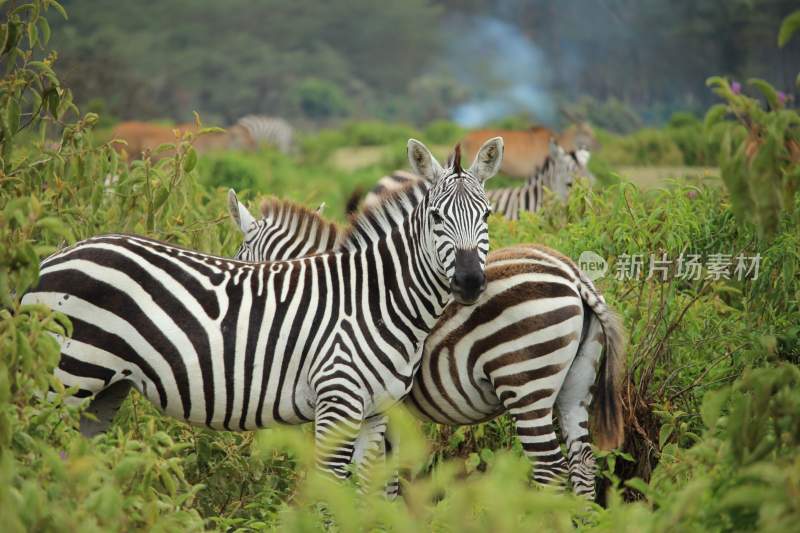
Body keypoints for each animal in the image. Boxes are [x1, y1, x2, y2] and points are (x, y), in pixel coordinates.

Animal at [21, 136, 504, 482]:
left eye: (486, 216)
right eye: (436, 218)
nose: (469, 282)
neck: (376, 299)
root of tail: (49, 260)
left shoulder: (376, 413)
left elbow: (367, 493)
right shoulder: (337, 401)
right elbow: (330, 490)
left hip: (102, 388)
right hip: (65, 377)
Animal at [228, 184, 628, 498]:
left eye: (239, 256)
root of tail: (574, 275)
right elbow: (387, 478)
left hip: (526, 384)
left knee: (551, 471)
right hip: (575, 386)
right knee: (583, 464)